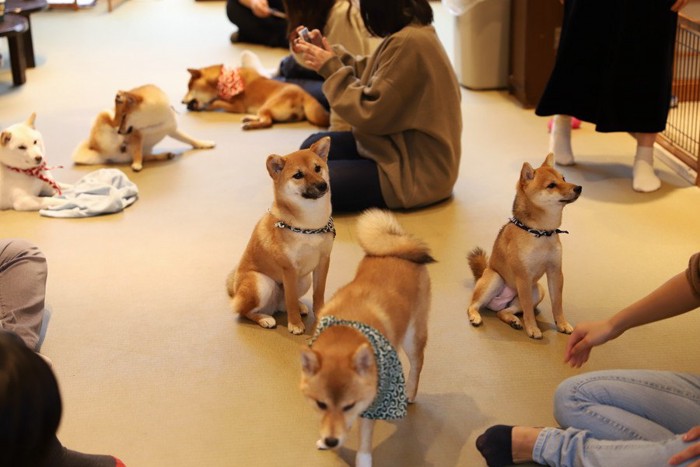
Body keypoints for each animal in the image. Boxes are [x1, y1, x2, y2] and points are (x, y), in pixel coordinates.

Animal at [71, 84, 215, 172]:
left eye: (124, 117)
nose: (119, 132)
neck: (152, 123)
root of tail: (98, 153)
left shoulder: (172, 130)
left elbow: (189, 139)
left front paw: (204, 144)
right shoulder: (136, 134)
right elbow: (137, 150)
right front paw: (137, 163)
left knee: (144, 156)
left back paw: (164, 155)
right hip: (105, 113)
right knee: (112, 119)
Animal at [183, 51, 330, 131]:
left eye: (189, 88)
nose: (182, 101)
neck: (221, 80)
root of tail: (305, 95)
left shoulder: (238, 106)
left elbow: (216, 102)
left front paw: (206, 105)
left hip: (268, 105)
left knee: (267, 122)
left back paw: (250, 125)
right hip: (265, 108)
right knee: (265, 118)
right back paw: (249, 118)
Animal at [224, 137, 334, 334]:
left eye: (317, 168)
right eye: (298, 175)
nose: (323, 185)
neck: (310, 225)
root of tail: (236, 291)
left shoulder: (323, 261)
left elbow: (318, 295)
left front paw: (321, 317)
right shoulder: (288, 269)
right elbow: (290, 299)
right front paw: (295, 324)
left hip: (304, 279)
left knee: (284, 304)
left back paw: (299, 306)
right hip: (262, 283)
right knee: (245, 311)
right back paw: (265, 319)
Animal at [300, 210, 434, 466]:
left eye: (348, 405)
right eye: (321, 404)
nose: (331, 441)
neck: (346, 330)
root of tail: (399, 245)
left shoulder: (368, 404)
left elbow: (364, 440)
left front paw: (362, 460)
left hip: (413, 337)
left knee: (418, 364)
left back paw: (410, 393)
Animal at [468, 154, 584, 340]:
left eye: (564, 178)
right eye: (551, 185)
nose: (579, 187)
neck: (541, 232)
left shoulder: (555, 272)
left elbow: (557, 303)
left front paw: (562, 324)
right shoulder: (523, 277)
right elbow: (528, 308)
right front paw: (533, 328)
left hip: (537, 290)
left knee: (503, 312)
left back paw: (513, 320)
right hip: (496, 279)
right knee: (473, 304)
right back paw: (475, 316)